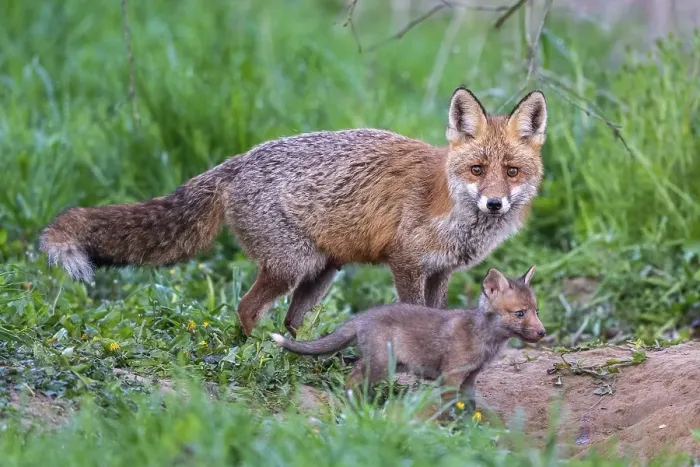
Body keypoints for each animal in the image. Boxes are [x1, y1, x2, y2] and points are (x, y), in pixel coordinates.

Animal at [39, 87, 547, 337]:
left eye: (512, 171)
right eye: (478, 169)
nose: (495, 202)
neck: (453, 210)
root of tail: (239, 159)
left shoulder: (440, 270)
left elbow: (437, 315)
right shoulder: (405, 262)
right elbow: (413, 313)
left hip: (322, 272)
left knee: (290, 320)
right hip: (293, 265)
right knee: (247, 309)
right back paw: (254, 352)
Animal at [272, 265, 545, 412]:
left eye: (537, 311)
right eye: (520, 314)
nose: (542, 332)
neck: (485, 339)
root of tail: (363, 316)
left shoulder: (469, 379)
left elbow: (469, 408)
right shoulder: (451, 376)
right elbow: (450, 408)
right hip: (383, 363)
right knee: (353, 377)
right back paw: (356, 407)